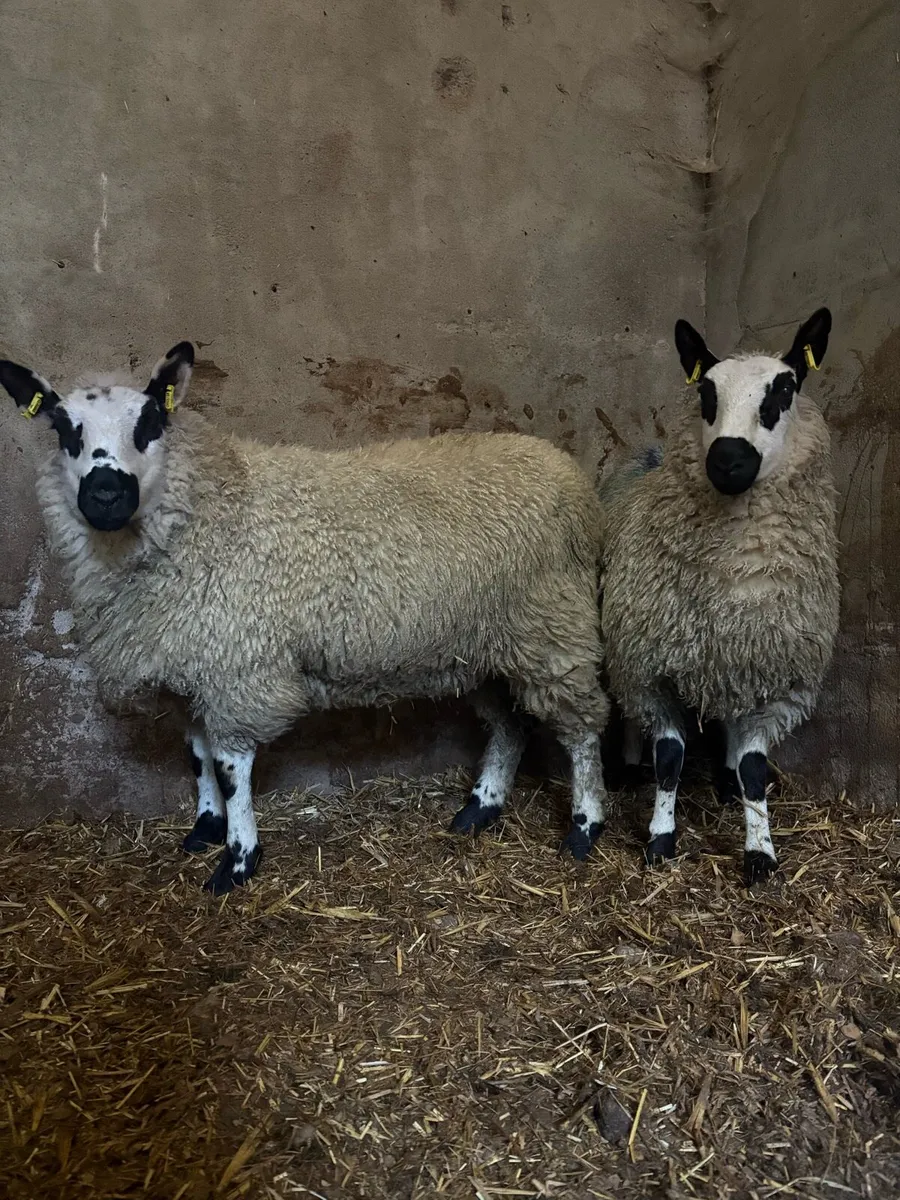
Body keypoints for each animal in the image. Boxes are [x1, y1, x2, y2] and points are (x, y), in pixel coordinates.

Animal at [0, 342, 610, 893]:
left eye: (151, 422)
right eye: (64, 429)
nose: (105, 493)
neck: (209, 508)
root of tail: (564, 470)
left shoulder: (238, 665)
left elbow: (230, 766)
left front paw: (238, 860)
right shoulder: (194, 663)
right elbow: (197, 755)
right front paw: (205, 828)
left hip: (553, 628)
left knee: (581, 728)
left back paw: (584, 828)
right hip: (485, 647)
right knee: (511, 726)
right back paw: (481, 809)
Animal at [597, 308, 839, 885]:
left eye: (785, 388)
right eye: (705, 391)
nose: (727, 459)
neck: (734, 577)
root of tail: (648, 452)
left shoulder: (775, 675)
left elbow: (754, 767)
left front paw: (759, 850)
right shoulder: (650, 667)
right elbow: (669, 757)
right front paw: (660, 838)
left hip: (733, 661)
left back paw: (726, 782)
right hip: (625, 648)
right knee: (630, 716)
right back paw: (629, 765)